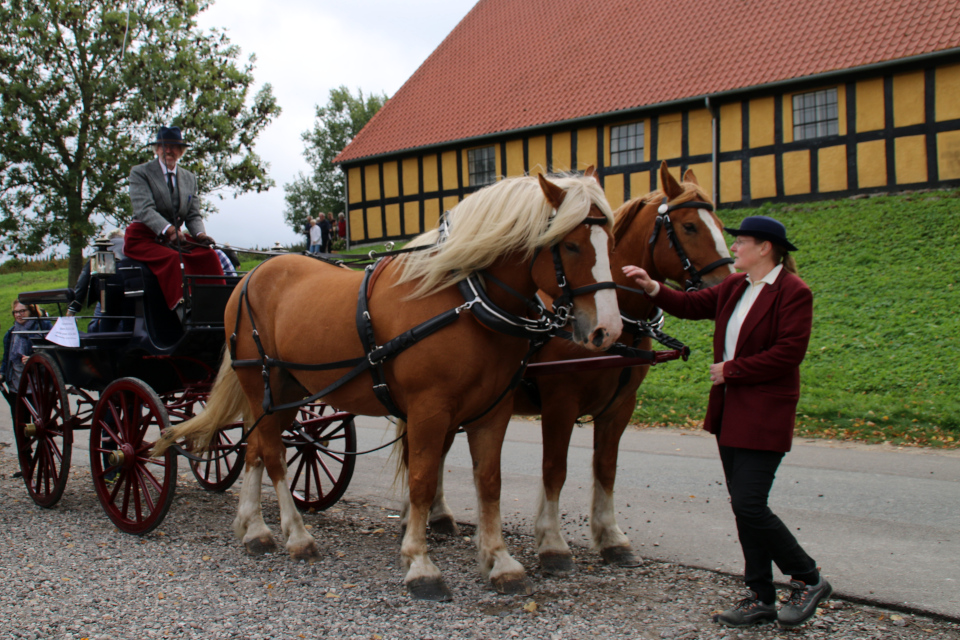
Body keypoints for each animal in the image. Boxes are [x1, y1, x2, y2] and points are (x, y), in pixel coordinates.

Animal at [156, 170, 624, 600]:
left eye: (611, 242)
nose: (608, 330)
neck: (466, 299)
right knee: (271, 455)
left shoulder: (493, 410)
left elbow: (489, 482)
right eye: (571, 244)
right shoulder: (429, 410)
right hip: (261, 384)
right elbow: (421, 479)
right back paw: (297, 535)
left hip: (284, 394)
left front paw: (500, 560)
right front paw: (420, 563)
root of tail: (252, 277)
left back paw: (254, 529)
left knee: (254, 449)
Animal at [414, 162, 736, 572]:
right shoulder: (560, 404)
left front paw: (611, 537)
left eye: (721, 224)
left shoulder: (620, 407)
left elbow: (606, 468)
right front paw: (552, 544)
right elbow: (555, 469)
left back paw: (437, 515)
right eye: (690, 226)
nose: (727, 284)